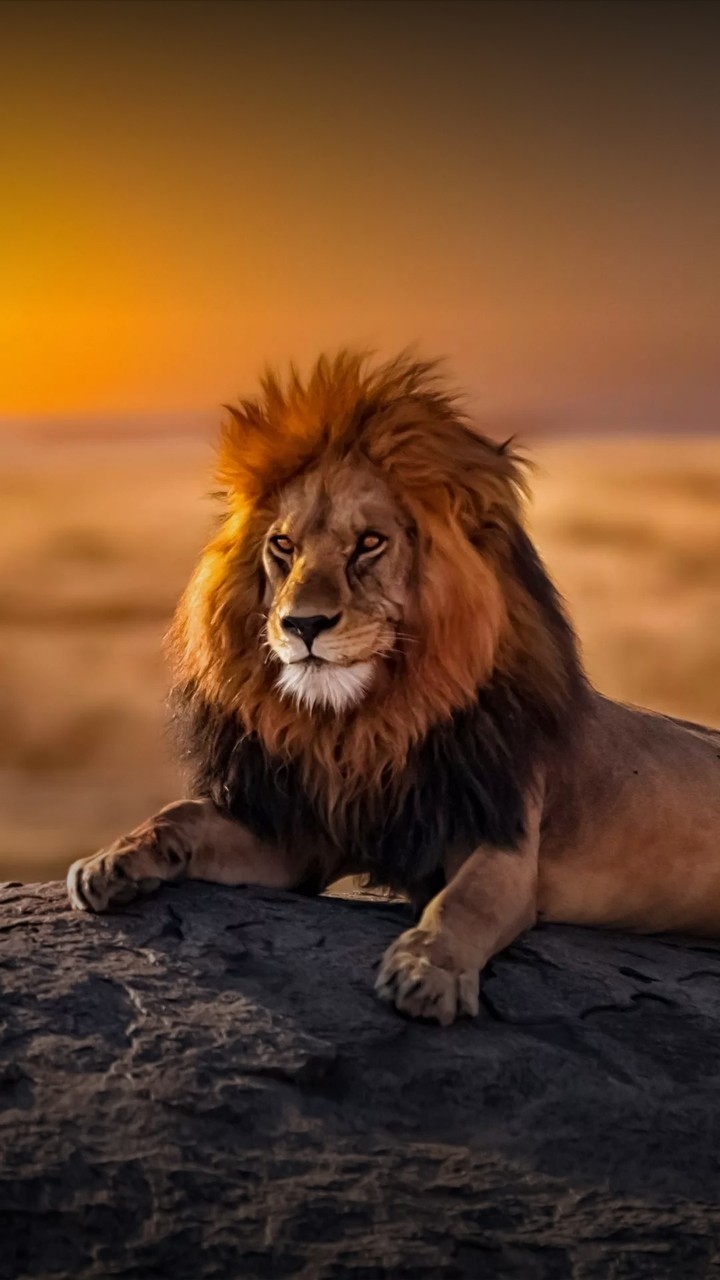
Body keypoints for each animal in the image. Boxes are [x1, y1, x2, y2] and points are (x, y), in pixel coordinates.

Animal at [67, 351, 720, 1025]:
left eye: (370, 543)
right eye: (283, 546)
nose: (303, 624)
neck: (364, 725)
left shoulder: (503, 840)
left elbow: (463, 903)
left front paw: (425, 971)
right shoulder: (305, 836)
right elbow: (182, 816)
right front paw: (113, 861)